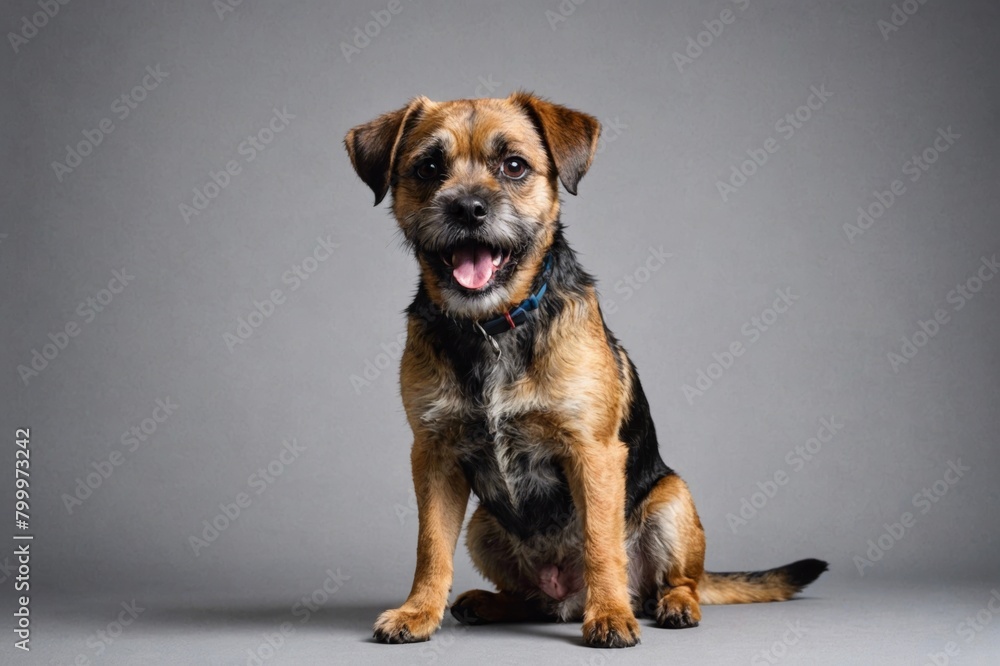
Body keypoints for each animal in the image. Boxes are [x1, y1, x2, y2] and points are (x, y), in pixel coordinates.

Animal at [344, 91, 828, 644]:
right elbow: (430, 546)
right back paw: (489, 602)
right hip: (483, 526)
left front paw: (610, 615)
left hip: (672, 500)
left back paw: (669, 605)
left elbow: (602, 542)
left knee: (678, 580)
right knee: (530, 598)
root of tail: (567, 597)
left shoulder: (592, 454)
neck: (492, 325)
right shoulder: (434, 456)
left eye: (514, 166)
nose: (467, 208)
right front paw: (419, 611)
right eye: (428, 167)